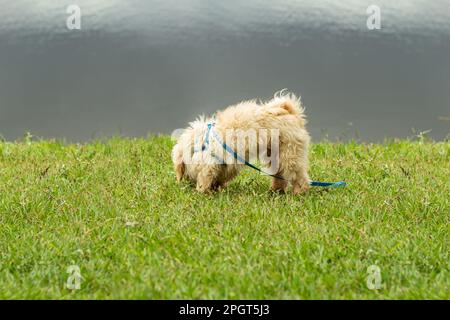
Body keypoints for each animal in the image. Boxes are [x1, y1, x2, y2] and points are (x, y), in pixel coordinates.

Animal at [171, 91, 312, 194]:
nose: (186, 182)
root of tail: (292, 112)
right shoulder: (226, 163)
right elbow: (221, 175)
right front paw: (215, 188)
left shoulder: (210, 163)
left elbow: (205, 178)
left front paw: (202, 192)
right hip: (275, 155)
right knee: (280, 174)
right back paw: (275, 191)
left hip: (290, 154)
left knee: (299, 176)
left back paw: (299, 192)